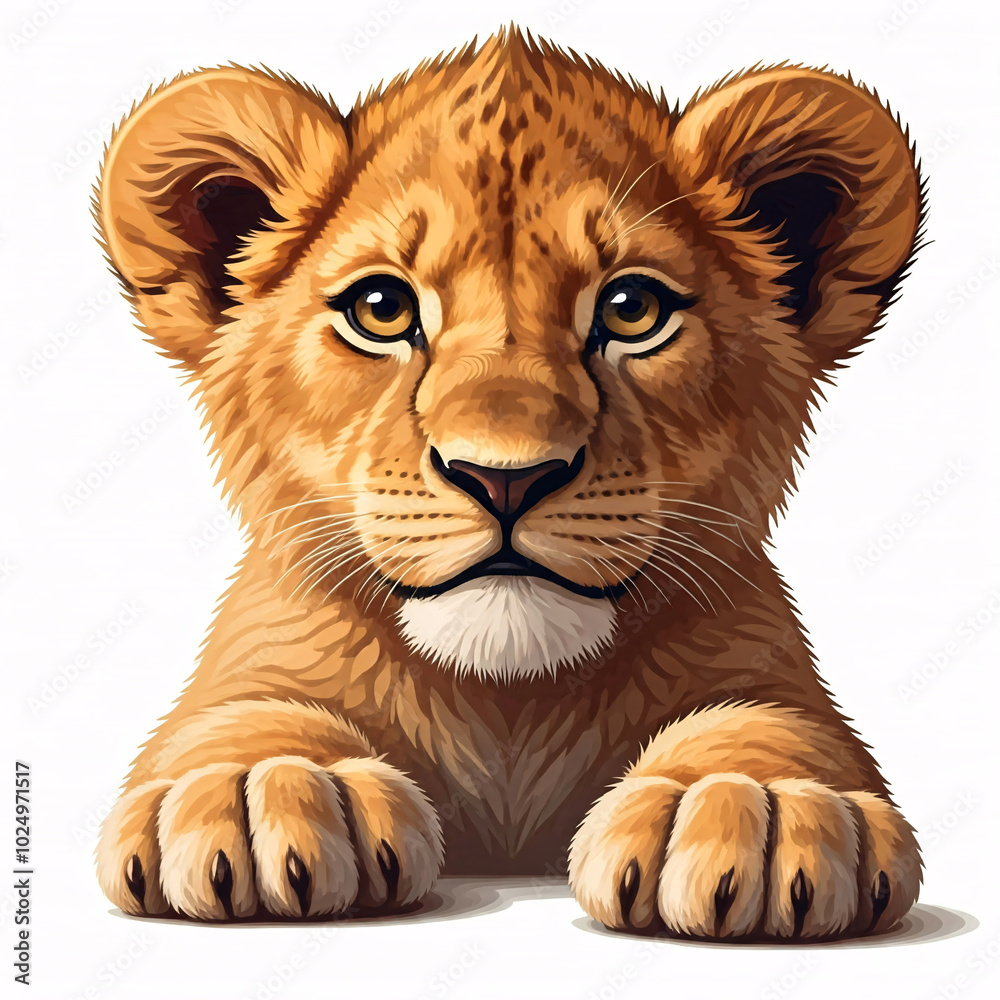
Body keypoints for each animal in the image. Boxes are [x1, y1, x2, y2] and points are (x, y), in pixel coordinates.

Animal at [95, 30, 924, 939]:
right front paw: (261, 791)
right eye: (380, 308)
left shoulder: (764, 660)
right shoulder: (261, 653)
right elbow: (237, 716)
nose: (504, 477)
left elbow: (776, 724)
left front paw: (756, 803)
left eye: (632, 308)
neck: (508, 706)